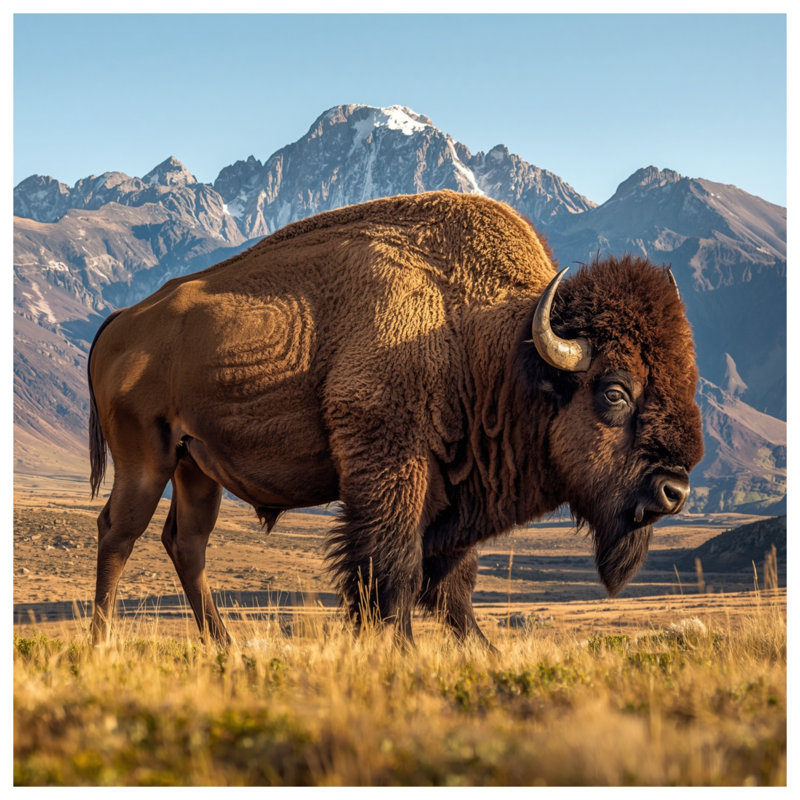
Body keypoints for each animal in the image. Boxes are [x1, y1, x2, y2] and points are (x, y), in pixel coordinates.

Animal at [88, 191, 703, 647]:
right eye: (615, 392)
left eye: (687, 381)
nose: (674, 491)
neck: (489, 344)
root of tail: (122, 320)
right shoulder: (391, 471)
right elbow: (392, 571)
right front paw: (400, 649)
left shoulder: (454, 496)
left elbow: (452, 586)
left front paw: (478, 651)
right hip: (146, 461)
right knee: (119, 532)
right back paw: (102, 641)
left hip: (197, 468)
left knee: (186, 543)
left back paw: (225, 647)